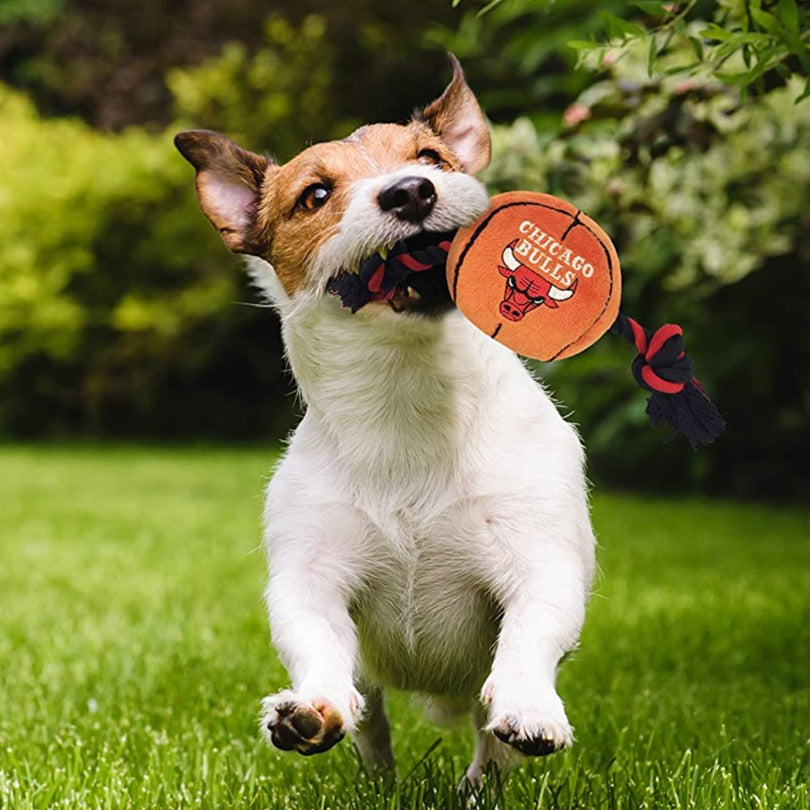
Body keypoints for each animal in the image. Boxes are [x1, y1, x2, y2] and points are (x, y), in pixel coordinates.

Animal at [175, 52, 592, 784]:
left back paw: (480, 783)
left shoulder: (539, 558)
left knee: (487, 743)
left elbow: (531, 631)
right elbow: (315, 640)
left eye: (431, 158)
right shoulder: (311, 576)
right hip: (370, 683)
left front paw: (529, 705)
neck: (408, 398)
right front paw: (311, 710)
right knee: (370, 715)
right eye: (314, 195)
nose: (411, 192)